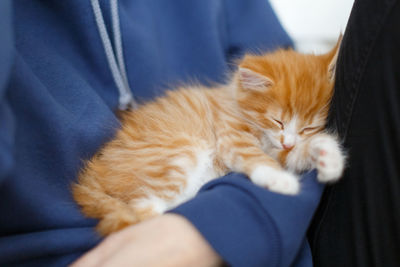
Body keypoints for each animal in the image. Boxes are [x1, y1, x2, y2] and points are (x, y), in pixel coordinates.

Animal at [73, 38, 346, 236]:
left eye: (308, 128)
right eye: (277, 120)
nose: (288, 141)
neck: (235, 100)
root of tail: (93, 174)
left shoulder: (278, 146)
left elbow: (295, 154)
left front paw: (328, 157)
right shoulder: (231, 135)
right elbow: (254, 156)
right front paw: (280, 179)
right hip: (182, 150)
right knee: (143, 209)